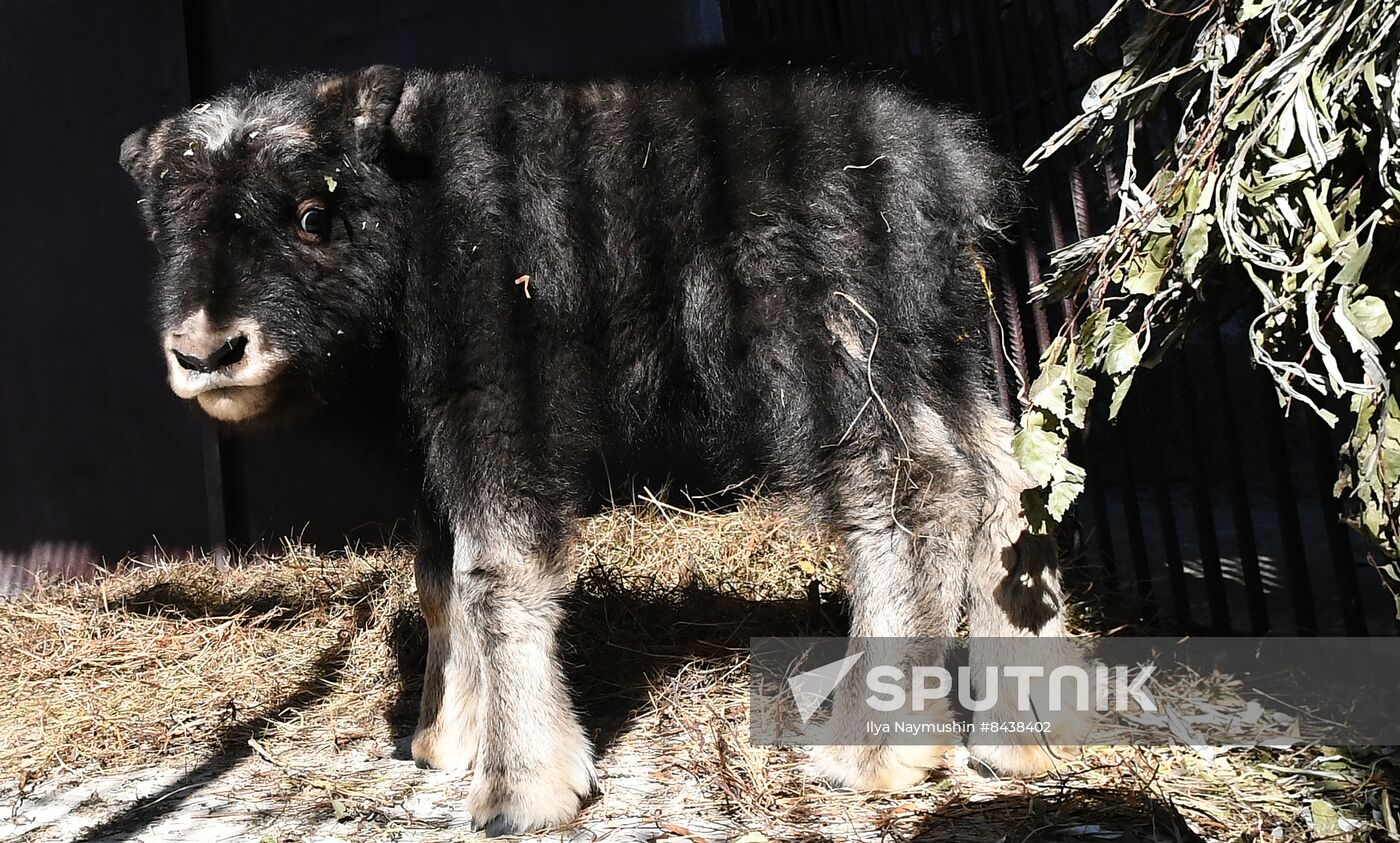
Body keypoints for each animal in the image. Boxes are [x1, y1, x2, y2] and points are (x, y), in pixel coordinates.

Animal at [123, 65, 1069, 828]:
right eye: (173, 227)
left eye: (312, 213)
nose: (208, 351)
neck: (412, 211)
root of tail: (952, 166)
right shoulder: (429, 440)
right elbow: (437, 577)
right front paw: (442, 740)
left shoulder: (503, 401)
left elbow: (495, 571)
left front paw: (521, 785)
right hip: (938, 351)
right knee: (1007, 477)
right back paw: (1018, 734)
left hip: (831, 349)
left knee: (911, 488)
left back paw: (877, 750)